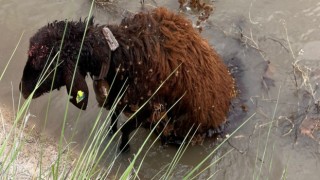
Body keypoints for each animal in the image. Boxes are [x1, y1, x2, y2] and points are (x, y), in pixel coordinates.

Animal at [19, 7, 235, 152]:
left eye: (49, 65)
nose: (22, 89)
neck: (122, 53)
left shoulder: (146, 108)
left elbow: (125, 128)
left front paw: (123, 150)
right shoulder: (118, 94)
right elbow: (114, 118)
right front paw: (111, 134)